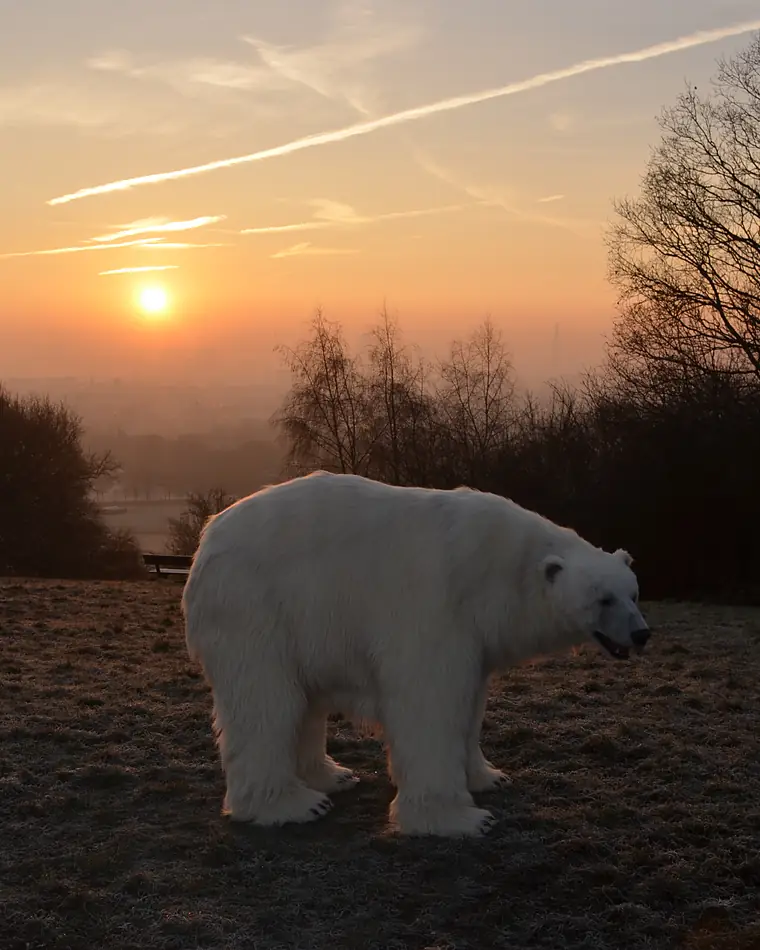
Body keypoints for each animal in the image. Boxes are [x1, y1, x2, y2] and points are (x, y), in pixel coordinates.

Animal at [182, 471, 650, 837]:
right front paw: (459, 817)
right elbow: (430, 703)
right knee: (266, 703)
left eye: (632, 592)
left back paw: (333, 776)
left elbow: (470, 704)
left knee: (303, 703)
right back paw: (294, 804)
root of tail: (206, 539)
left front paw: (488, 777)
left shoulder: (475, 636)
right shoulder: (435, 609)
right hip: (254, 608)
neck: (494, 569)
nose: (641, 633)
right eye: (603, 599)